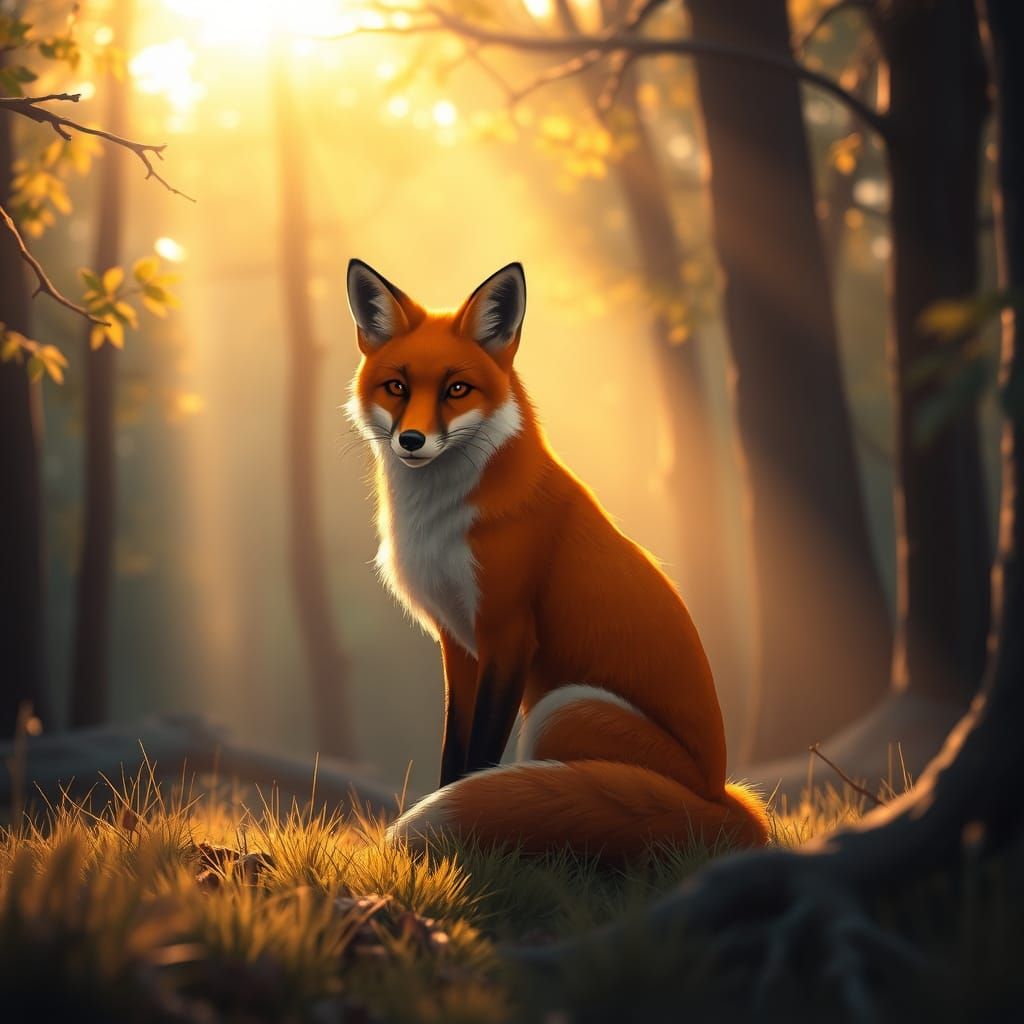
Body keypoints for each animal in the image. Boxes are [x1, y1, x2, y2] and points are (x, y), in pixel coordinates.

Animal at [345, 258, 769, 861]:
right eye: (397, 387)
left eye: (457, 389)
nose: (411, 440)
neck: (442, 520)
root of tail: (721, 797)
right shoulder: (459, 643)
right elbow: (455, 754)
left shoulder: (508, 633)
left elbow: (479, 757)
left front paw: (462, 847)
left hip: (562, 707)